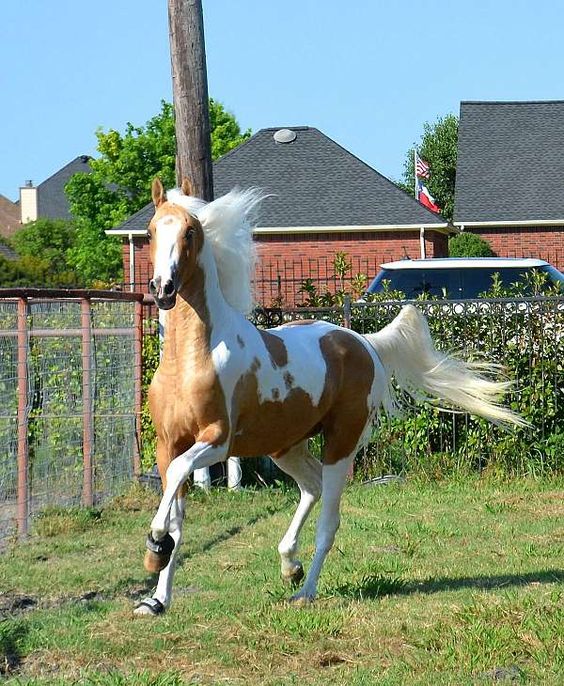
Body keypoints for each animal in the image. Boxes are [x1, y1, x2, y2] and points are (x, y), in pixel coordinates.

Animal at [134, 179, 524, 620]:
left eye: (190, 232)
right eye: (150, 231)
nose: (163, 289)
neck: (192, 359)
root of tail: (364, 342)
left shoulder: (217, 441)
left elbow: (178, 482)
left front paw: (154, 547)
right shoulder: (168, 444)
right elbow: (177, 512)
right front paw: (156, 598)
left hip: (340, 441)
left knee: (329, 517)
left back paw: (305, 590)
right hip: (286, 447)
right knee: (312, 487)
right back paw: (290, 565)